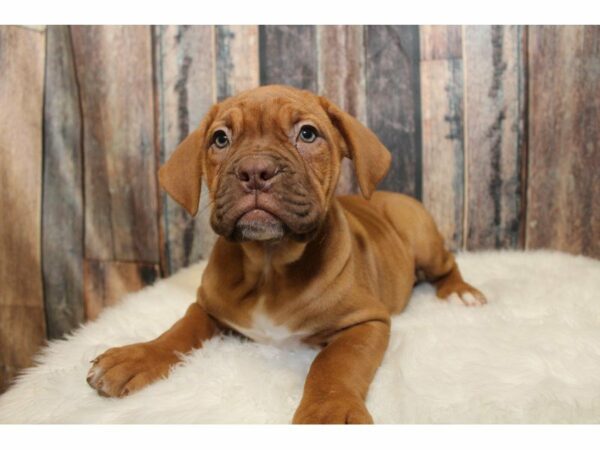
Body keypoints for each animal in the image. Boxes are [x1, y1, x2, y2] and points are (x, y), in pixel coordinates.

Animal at [86, 85, 486, 426]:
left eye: (307, 134)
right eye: (220, 138)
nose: (254, 171)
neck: (269, 264)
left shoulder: (364, 322)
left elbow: (334, 363)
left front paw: (328, 412)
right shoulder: (207, 306)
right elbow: (180, 329)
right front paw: (136, 357)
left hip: (420, 235)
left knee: (447, 264)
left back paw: (461, 293)